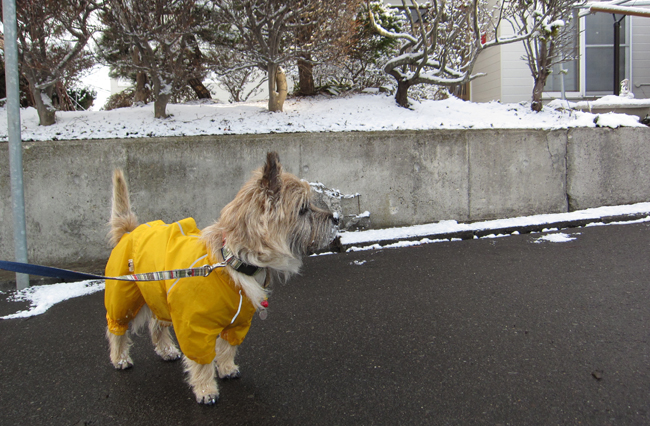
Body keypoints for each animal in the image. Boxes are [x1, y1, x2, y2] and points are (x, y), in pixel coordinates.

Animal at [104, 151, 336, 404]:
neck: (234, 260)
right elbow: (201, 362)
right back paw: (120, 358)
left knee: (157, 325)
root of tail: (129, 231)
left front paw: (226, 368)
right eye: (303, 209)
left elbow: (227, 348)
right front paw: (206, 390)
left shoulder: (238, 322)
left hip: (159, 296)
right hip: (124, 299)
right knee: (117, 329)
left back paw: (166, 350)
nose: (335, 219)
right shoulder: (194, 327)